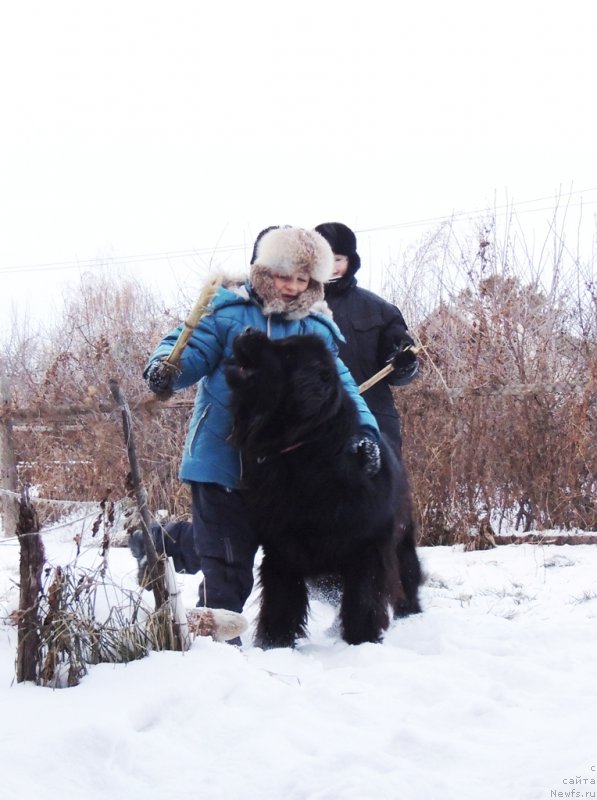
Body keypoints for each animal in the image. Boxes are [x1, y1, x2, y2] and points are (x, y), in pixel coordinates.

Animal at [226, 328, 422, 648]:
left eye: (287, 353)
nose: (247, 330)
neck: (308, 449)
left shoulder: (368, 547)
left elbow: (364, 598)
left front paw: (362, 640)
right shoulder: (281, 547)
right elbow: (280, 599)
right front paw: (275, 643)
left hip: (402, 541)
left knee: (407, 575)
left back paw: (411, 614)